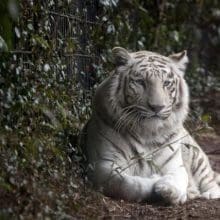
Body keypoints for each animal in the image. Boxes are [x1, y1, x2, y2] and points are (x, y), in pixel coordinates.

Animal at [81, 46, 220, 205]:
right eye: (141, 82)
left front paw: (170, 190)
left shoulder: (176, 166)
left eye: (166, 83)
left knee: (210, 180)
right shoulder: (103, 165)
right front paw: (156, 181)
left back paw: (208, 194)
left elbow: (177, 179)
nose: (157, 107)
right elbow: (127, 183)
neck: (147, 133)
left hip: (197, 157)